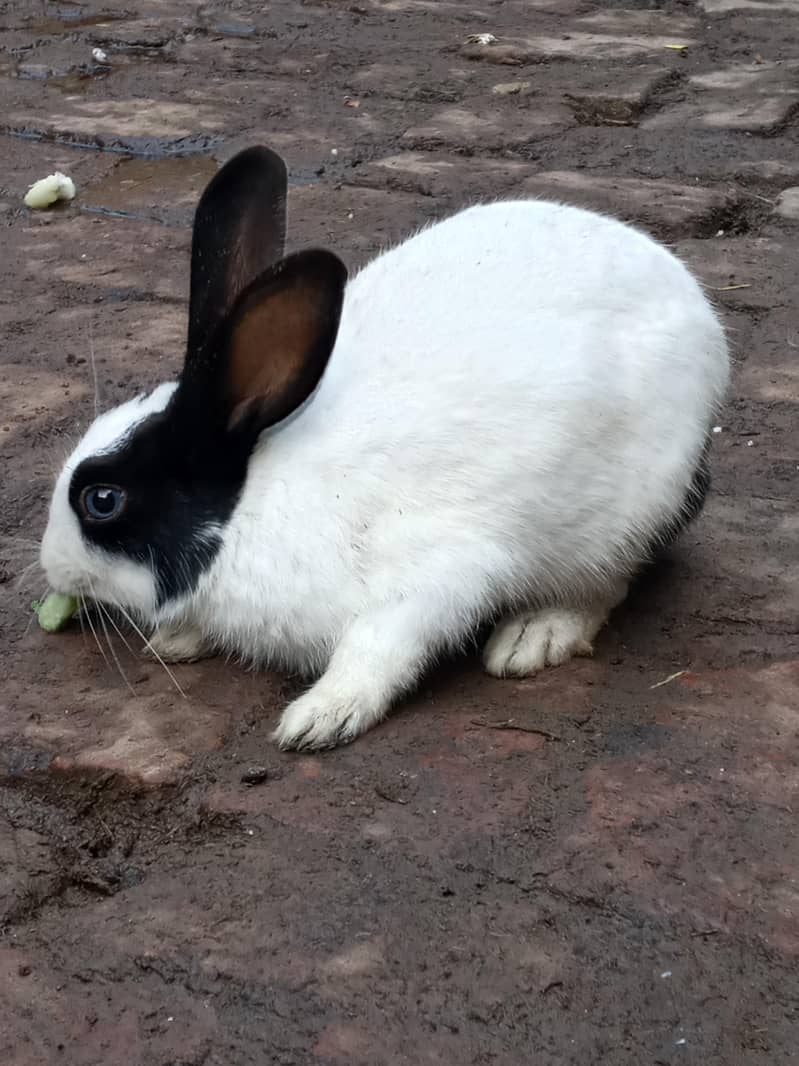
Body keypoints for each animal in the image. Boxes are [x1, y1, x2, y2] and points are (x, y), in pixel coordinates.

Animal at [40, 145, 729, 751]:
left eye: (102, 500)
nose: (50, 567)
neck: (249, 506)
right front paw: (180, 639)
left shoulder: (430, 579)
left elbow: (378, 648)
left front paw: (321, 718)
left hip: (624, 518)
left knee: (605, 585)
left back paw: (532, 637)